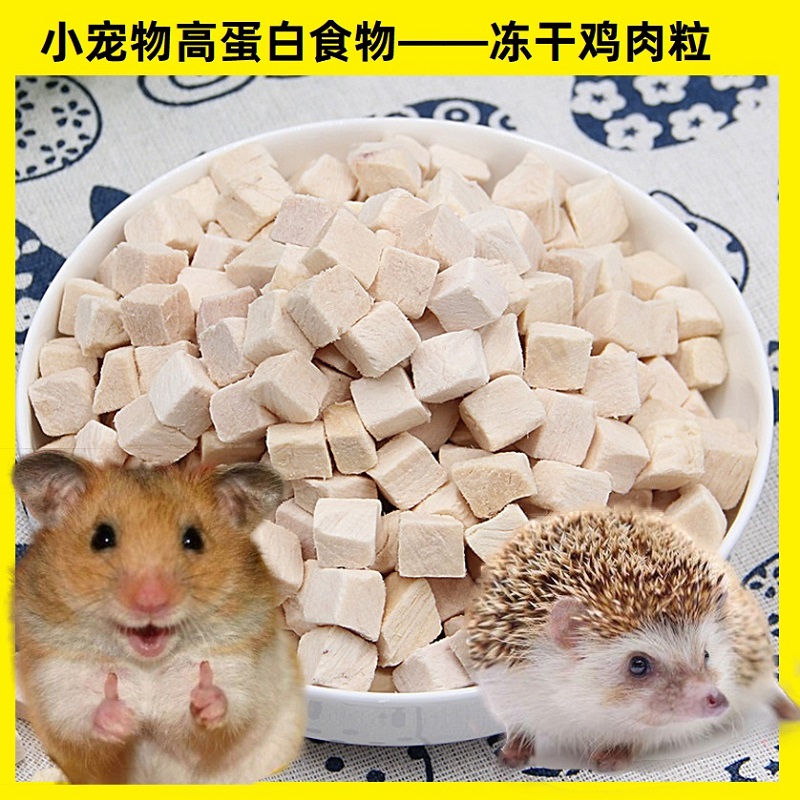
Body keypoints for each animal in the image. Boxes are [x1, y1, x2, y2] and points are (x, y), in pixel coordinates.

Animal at [13, 451, 306, 784]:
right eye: (101, 537)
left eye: (194, 539)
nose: (151, 601)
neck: (147, 666)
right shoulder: (59, 694)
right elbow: (85, 730)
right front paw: (119, 716)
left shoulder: (241, 678)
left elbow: (219, 720)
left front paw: (205, 696)